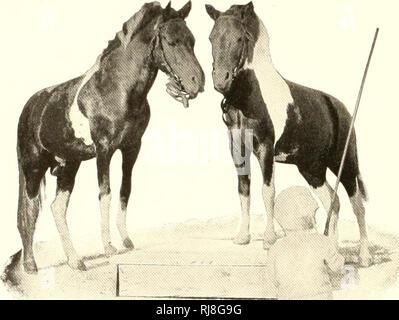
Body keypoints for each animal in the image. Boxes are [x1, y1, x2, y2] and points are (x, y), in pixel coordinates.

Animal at [16, 1, 205, 274]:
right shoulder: (104, 150)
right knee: (29, 210)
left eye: (192, 40)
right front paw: (108, 247)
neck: (116, 89)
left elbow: (125, 190)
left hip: (68, 165)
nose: (197, 82)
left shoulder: (131, 148)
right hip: (33, 168)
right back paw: (30, 265)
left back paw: (75, 260)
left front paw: (125, 240)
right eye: (171, 41)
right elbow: (105, 193)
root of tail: (30, 107)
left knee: (57, 207)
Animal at [208, 1, 374, 268]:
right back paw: (332, 249)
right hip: (311, 169)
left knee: (357, 204)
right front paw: (242, 237)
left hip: (345, 163)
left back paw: (365, 257)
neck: (253, 95)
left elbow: (268, 191)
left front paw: (268, 239)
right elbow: (243, 189)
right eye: (212, 37)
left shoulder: (265, 148)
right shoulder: (238, 151)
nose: (220, 81)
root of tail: (341, 108)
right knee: (333, 201)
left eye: (240, 38)